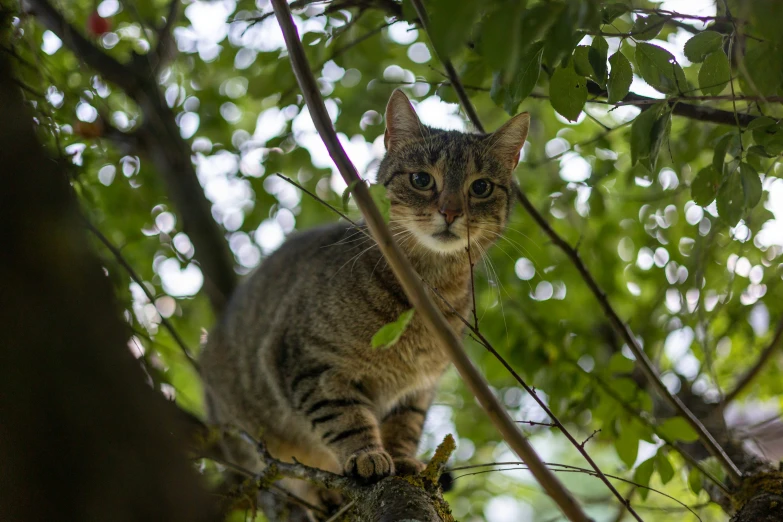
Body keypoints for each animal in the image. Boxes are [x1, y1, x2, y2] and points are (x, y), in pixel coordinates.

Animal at [201, 88, 532, 508]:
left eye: (481, 187)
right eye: (422, 179)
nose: (450, 211)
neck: (428, 287)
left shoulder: (417, 388)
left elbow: (404, 425)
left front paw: (402, 458)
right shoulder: (311, 364)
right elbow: (343, 417)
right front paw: (366, 454)